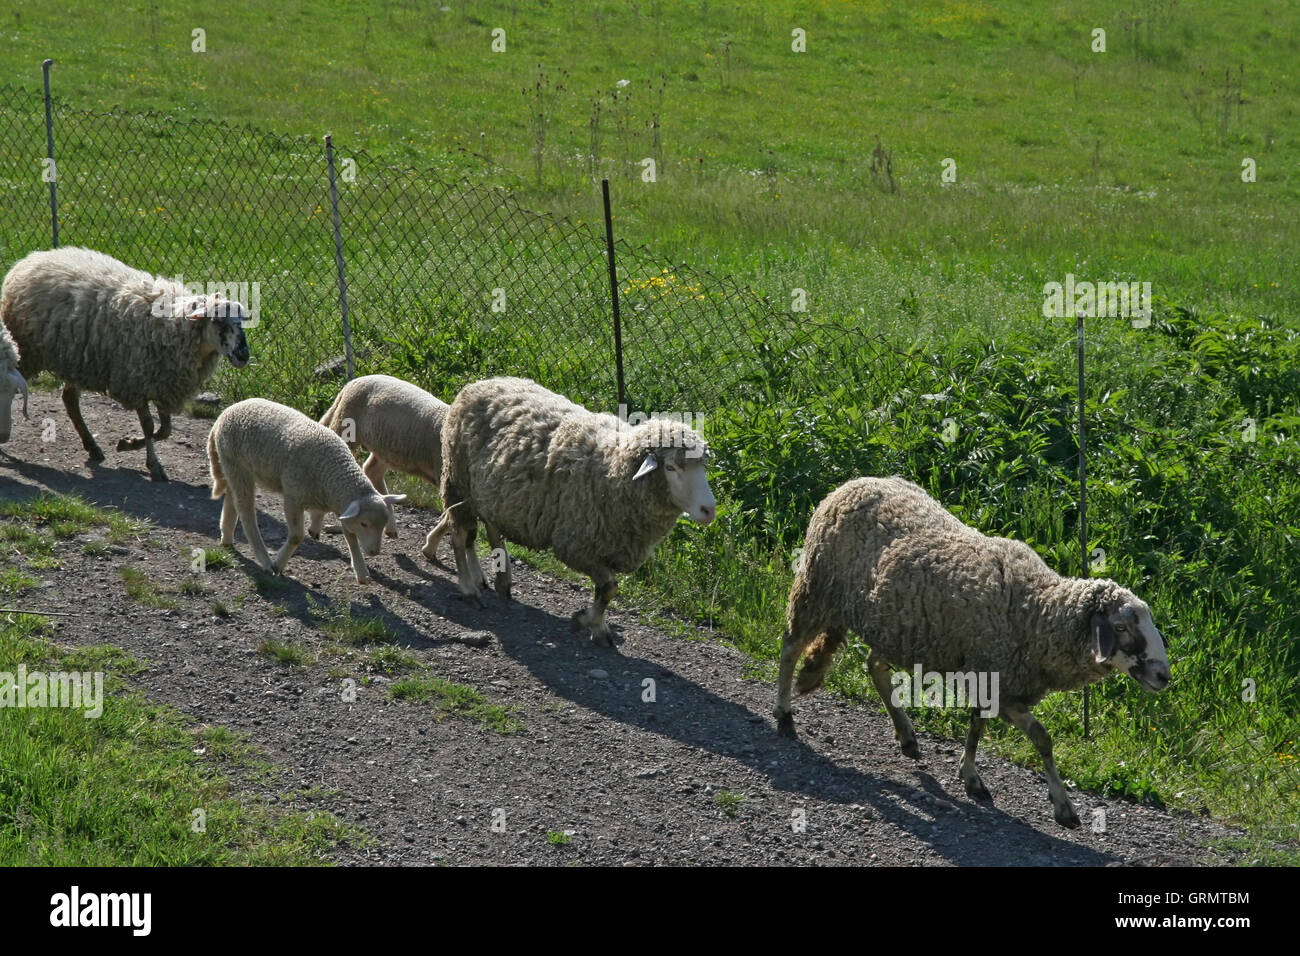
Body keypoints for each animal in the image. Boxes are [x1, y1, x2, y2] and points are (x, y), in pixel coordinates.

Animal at [0, 247, 250, 481]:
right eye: (218, 320)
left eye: (241, 321)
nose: (243, 355)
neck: (175, 328)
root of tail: (32, 258)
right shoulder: (135, 381)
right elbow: (150, 426)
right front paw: (152, 463)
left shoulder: (164, 384)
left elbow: (165, 430)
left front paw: (129, 443)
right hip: (29, 352)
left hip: (78, 360)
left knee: (70, 399)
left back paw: (92, 446)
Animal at [208, 395, 403, 582]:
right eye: (364, 523)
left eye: (384, 523)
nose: (375, 552)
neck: (333, 471)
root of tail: (226, 412)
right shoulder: (293, 497)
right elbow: (297, 536)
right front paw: (279, 564)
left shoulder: (339, 502)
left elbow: (350, 535)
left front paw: (361, 573)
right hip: (236, 464)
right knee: (246, 511)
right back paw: (265, 560)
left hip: (235, 467)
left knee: (232, 498)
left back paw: (226, 537)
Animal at [315, 371, 452, 556]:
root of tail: (352, 383)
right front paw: (429, 548)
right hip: (346, 422)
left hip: (385, 448)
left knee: (372, 470)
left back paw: (390, 525)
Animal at [441, 377, 717, 647]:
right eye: (670, 467)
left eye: (702, 467)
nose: (709, 510)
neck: (613, 468)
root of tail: (481, 382)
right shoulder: (577, 546)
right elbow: (609, 587)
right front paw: (585, 621)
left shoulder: (605, 547)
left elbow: (606, 591)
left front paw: (598, 627)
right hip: (458, 481)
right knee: (460, 535)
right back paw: (469, 588)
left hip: (491, 494)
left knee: (490, 526)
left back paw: (502, 580)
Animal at [769, 478, 1170, 832]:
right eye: (1121, 627)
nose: (1163, 676)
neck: (1036, 612)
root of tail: (854, 482)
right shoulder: (996, 680)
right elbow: (1037, 737)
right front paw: (1060, 805)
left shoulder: (995, 677)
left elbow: (987, 728)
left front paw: (972, 776)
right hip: (816, 587)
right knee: (790, 648)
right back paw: (784, 716)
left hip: (898, 628)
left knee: (874, 666)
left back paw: (907, 736)